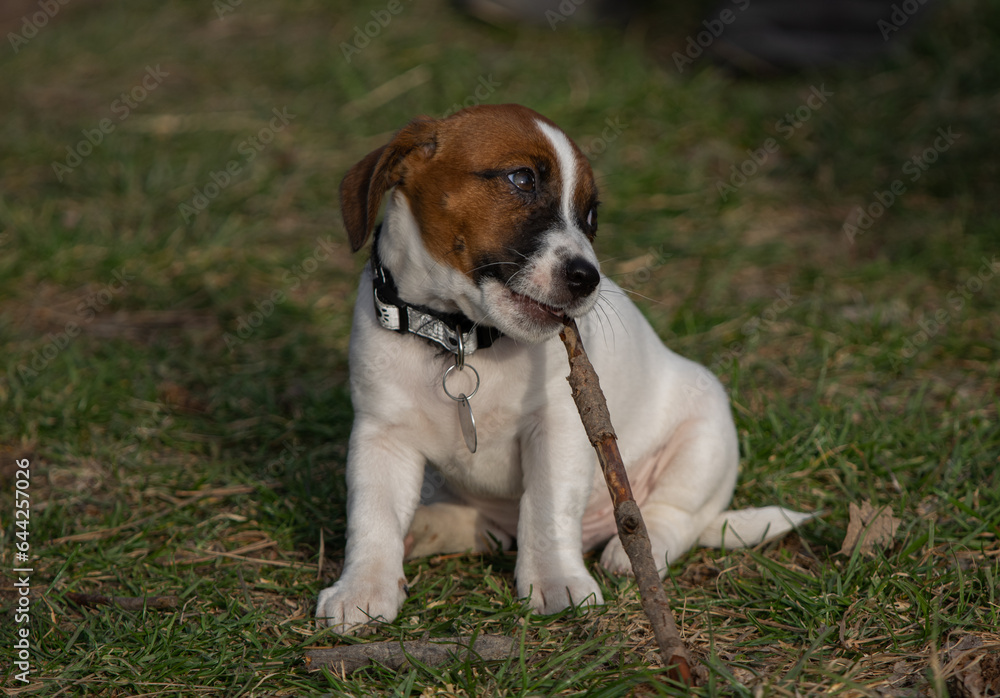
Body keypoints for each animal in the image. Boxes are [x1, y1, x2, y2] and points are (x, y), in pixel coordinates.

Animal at [316, 103, 808, 632]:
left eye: (591, 215)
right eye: (522, 178)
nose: (587, 278)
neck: (460, 336)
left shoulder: (559, 428)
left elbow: (546, 508)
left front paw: (555, 582)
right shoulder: (381, 435)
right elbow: (373, 516)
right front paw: (363, 588)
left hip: (705, 433)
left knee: (676, 515)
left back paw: (635, 550)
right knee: (488, 529)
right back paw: (427, 529)